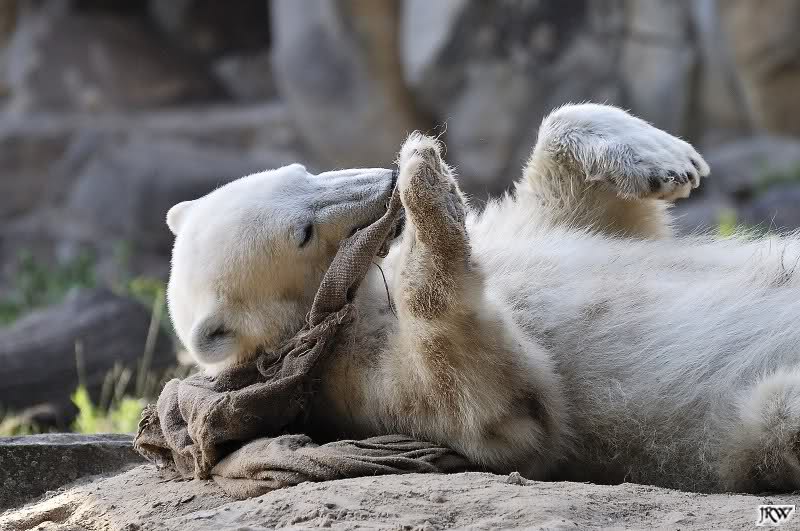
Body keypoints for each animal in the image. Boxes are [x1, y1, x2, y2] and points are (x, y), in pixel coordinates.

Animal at [166, 103, 800, 493]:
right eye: (301, 231)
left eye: (302, 171)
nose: (382, 178)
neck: (364, 297)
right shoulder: (349, 374)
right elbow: (502, 412)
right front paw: (426, 184)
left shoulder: (521, 232)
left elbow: (588, 209)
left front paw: (667, 160)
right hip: (746, 422)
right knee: (777, 413)